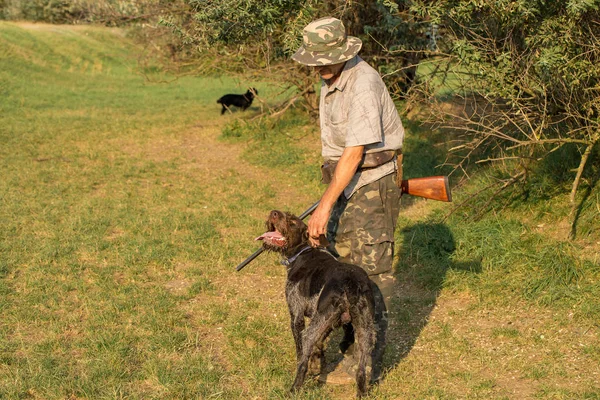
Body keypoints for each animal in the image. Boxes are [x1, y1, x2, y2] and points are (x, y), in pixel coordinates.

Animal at [256, 209, 376, 396]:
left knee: (302, 364)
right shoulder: (326, 322)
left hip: (312, 330)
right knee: (361, 370)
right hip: (366, 331)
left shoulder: (297, 315)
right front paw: (317, 366)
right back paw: (362, 393)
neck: (302, 251)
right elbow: (318, 347)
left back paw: (293, 390)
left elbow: (301, 354)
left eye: (292, 222)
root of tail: (351, 283)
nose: (274, 213)